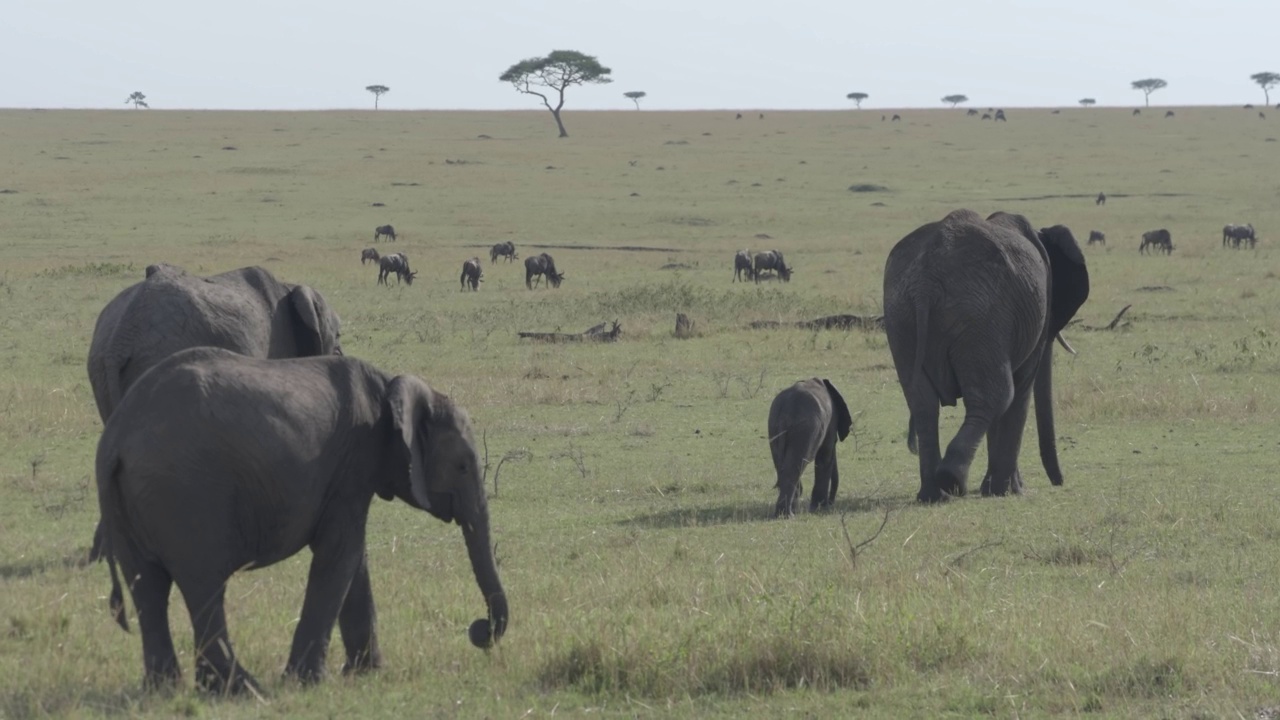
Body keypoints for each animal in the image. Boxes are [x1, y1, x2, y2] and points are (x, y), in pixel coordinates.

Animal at [96, 348, 504, 696]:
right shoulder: (352, 463)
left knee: (147, 589)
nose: (479, 631)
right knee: (203, 587)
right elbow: (341, 555)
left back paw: (166, 690)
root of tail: (115, 439)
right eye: (463, 466)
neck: (389, 387)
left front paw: (365, 674)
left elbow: (353, 560)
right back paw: (243, 689)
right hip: (185, 494)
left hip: (132, 503)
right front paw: (307, 681)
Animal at [762, 376, 855, 515]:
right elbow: (825, 456)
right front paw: (819, 508)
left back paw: (787, 513)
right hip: (804, 429)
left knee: (782, 466)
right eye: (835, 441)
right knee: (795, 466)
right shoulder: (831, 421)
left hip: (773, 428)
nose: (831, 503)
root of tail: (785, 411)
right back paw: (788, 515)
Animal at [890, 207, 1090, 499]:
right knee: (998, 396)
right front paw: (1008, 491)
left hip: (902, 317)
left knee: (923, 403)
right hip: (980, 316)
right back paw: (952, 481)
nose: (1059, 481)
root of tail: (926, 280)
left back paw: (932, 494)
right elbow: (1021, 389)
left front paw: (995, 488)